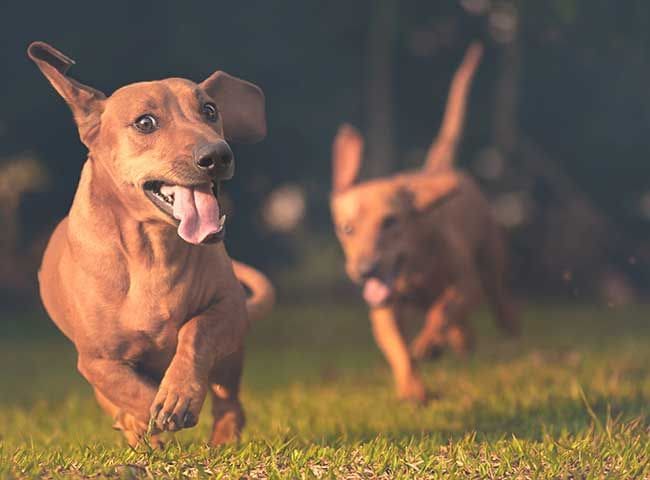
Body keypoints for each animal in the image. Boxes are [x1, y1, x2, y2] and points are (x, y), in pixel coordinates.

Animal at [28, 43, 274, 448]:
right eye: (145, 123)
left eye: (210, 110)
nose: (217, 155)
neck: (152, 253)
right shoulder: (96, 360)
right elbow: (128, 390)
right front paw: (148, 415)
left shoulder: (229, 308)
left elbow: (196, 331)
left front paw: (178, 394)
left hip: (231, 357)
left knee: (230, 402)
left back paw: (222, 437)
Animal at [330, 43, 516, 404]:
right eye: (347, 229)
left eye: (390, 222)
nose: (365, 271)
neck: (413, 268)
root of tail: (436, 168)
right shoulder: (383, 309)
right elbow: (398, 348)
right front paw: (412, 387)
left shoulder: (465, 283)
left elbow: (443, 310)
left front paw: (429, 343)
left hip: (491, 257)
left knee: (496, 291)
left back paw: (504, 325)